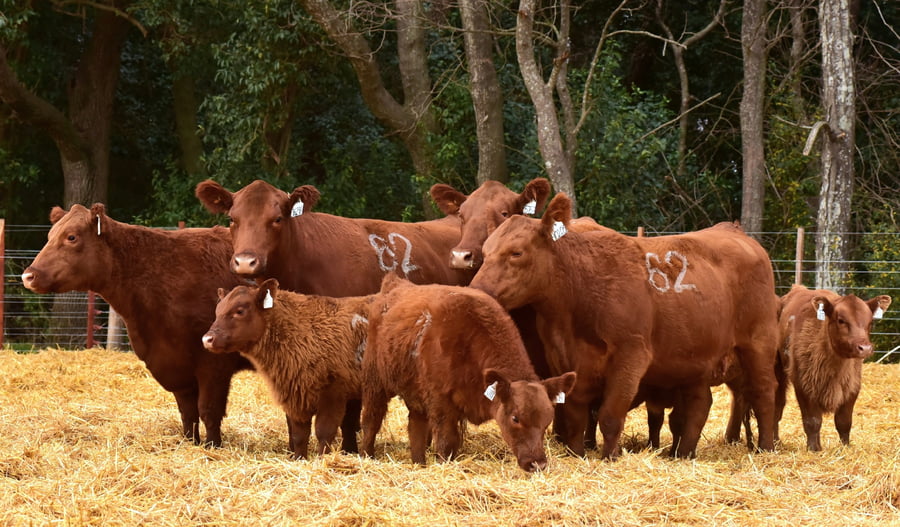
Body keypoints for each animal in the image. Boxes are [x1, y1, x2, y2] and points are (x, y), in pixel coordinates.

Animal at [21, 204, 251, 446]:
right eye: (49, 235)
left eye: (71, 237)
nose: (28, 276)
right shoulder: (176, 365)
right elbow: (188, 413)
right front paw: (190, 442)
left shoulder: (214, 362)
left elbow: (208, 410)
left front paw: (212, 446)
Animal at [202, 279, 374, 459]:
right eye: (217, 311)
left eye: (240, 311)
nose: (207, 339)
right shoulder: (295, 397)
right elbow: (299, 435)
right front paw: (299, 458)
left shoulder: (333, 395)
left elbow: (324, 433)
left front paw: (322, 460)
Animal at [360, 274, 577, 472]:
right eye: (515, 418)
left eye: (548, 419)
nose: (537, 464)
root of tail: (394, 284)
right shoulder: (441, 404)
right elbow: (446, 443)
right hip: (375, 383)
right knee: (371, 420)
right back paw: (366, 455)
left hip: (416, 396)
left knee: (416, 427)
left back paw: (419, 464)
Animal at [469, 192, 780, 459]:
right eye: (485, 251)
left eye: (516, 253)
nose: (477, 290)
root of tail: (736, 232)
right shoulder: (563, 358)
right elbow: (575, 415)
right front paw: (577, 453)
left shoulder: (631, 354)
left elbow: (609, 415)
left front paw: (610, 456)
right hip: (695, 358)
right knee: (699, 404)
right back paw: (682, 453)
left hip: (758, 342)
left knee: (764, 391)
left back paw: (765, 448)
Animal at [777, 284, 891, 451]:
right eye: (841, 320)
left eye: (870, 322)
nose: (865, 348)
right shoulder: (803, 385)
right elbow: (812, 421)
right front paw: (814, 449)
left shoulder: (852, 386)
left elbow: (844, 421)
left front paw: (845, 447)